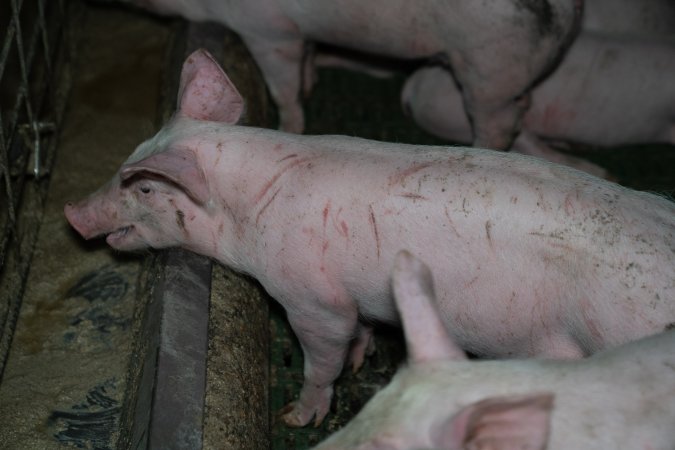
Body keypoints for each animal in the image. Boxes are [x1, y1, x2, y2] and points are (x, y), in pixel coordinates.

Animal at [64, 49, 675, 427]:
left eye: (144, 187)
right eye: (131, 157)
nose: (71, 212)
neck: (248, 213)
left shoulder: (312, 296)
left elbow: (324, 354)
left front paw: (297, 416)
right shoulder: (355, 296)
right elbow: (359, 333)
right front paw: (362, 359)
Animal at [109, 0, 583, 149]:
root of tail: (569, 14)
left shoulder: (270, 30)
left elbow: (283, 87)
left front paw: (287, 127)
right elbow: (305, 64)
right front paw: (311, 81)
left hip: (486, 70)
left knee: (499, 123)